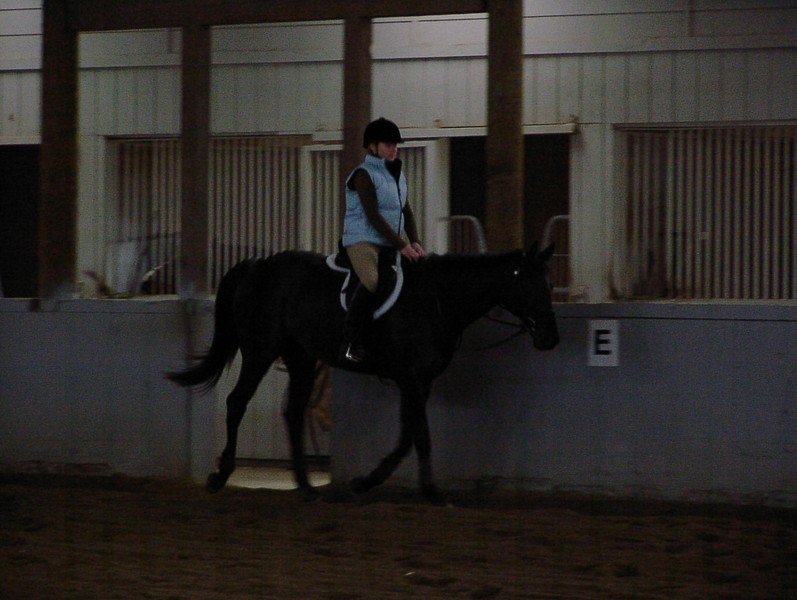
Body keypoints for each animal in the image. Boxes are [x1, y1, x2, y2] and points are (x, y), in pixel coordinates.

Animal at [166, 242, 559, 504]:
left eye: (550, 285)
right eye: (532, 286)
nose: (550, 338)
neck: (437, 300)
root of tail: (257, 265)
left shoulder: (419, 381)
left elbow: (408, 434)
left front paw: (366, 482)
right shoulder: (411, 378)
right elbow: (420, 434)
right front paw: (431, 492)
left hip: (301, 357)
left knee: (293, 412)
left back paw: (305, 486)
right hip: (260, 352)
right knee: (237, 403)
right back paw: (220, 476)